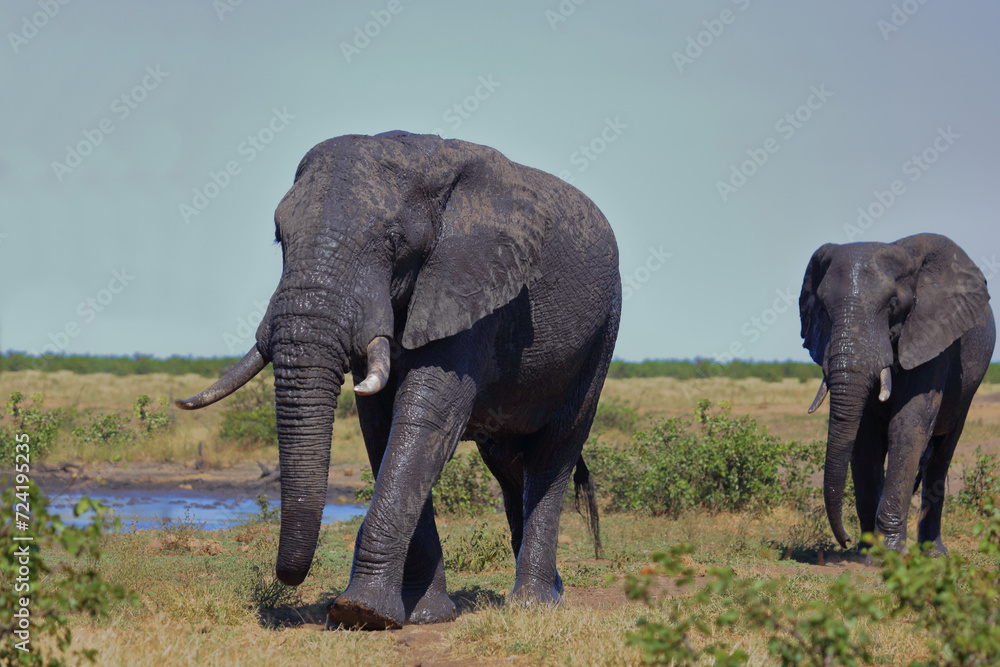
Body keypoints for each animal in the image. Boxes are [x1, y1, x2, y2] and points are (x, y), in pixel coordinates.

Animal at [177, 131, 621, 629]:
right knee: (509, 466)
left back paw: (534, 604)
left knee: (554, 451)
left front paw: (360, 611)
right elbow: (380, 425)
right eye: (279, 237)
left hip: (602, 332)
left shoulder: (472, 284)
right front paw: (424, 614)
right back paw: (551, 591)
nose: (286, 579)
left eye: (393, 241)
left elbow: (428, 417)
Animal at [799, 233, 995, 555]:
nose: (846, 540)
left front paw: (889, 552)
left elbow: (907, 426)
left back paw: (934, 553)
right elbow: (863, 436)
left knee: (943, 453)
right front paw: (868, 552)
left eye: (893, 304)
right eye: (824, 310)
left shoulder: (933, 335)